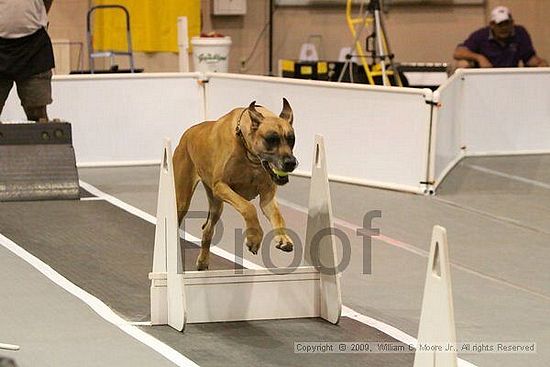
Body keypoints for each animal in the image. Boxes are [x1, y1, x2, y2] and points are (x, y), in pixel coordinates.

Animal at [176, 99, 298, 272]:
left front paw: (283, 238)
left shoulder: (267, 197)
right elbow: (249, 207)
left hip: (216, 205)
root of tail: (187, 134)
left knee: (208, 230)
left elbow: (277, 216)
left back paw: (203, 261)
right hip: (182, 201)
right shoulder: (221, 186)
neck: (251, 156)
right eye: (271, 139)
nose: (291, 163)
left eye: (291, 139)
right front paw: (254, 238)